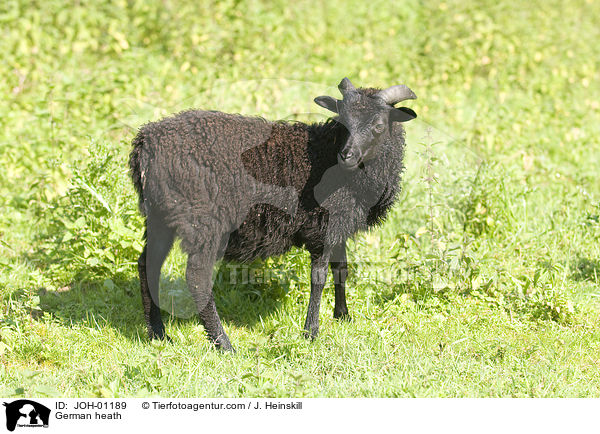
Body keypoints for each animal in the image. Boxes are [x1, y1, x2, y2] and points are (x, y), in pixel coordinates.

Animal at [129, 77, 414, 350]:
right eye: (341, 122)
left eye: (379, 125)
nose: (347, 156)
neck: (327, 155)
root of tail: (146, 143)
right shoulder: (322, 226)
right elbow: (319, 277)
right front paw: (311, 332)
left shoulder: (338, 224)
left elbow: (341, 268)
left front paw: (343, 316)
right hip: (203, 220)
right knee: (197, 277)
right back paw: (224, 344)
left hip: (159, 215)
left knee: (147, 265)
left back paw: (158, 334)